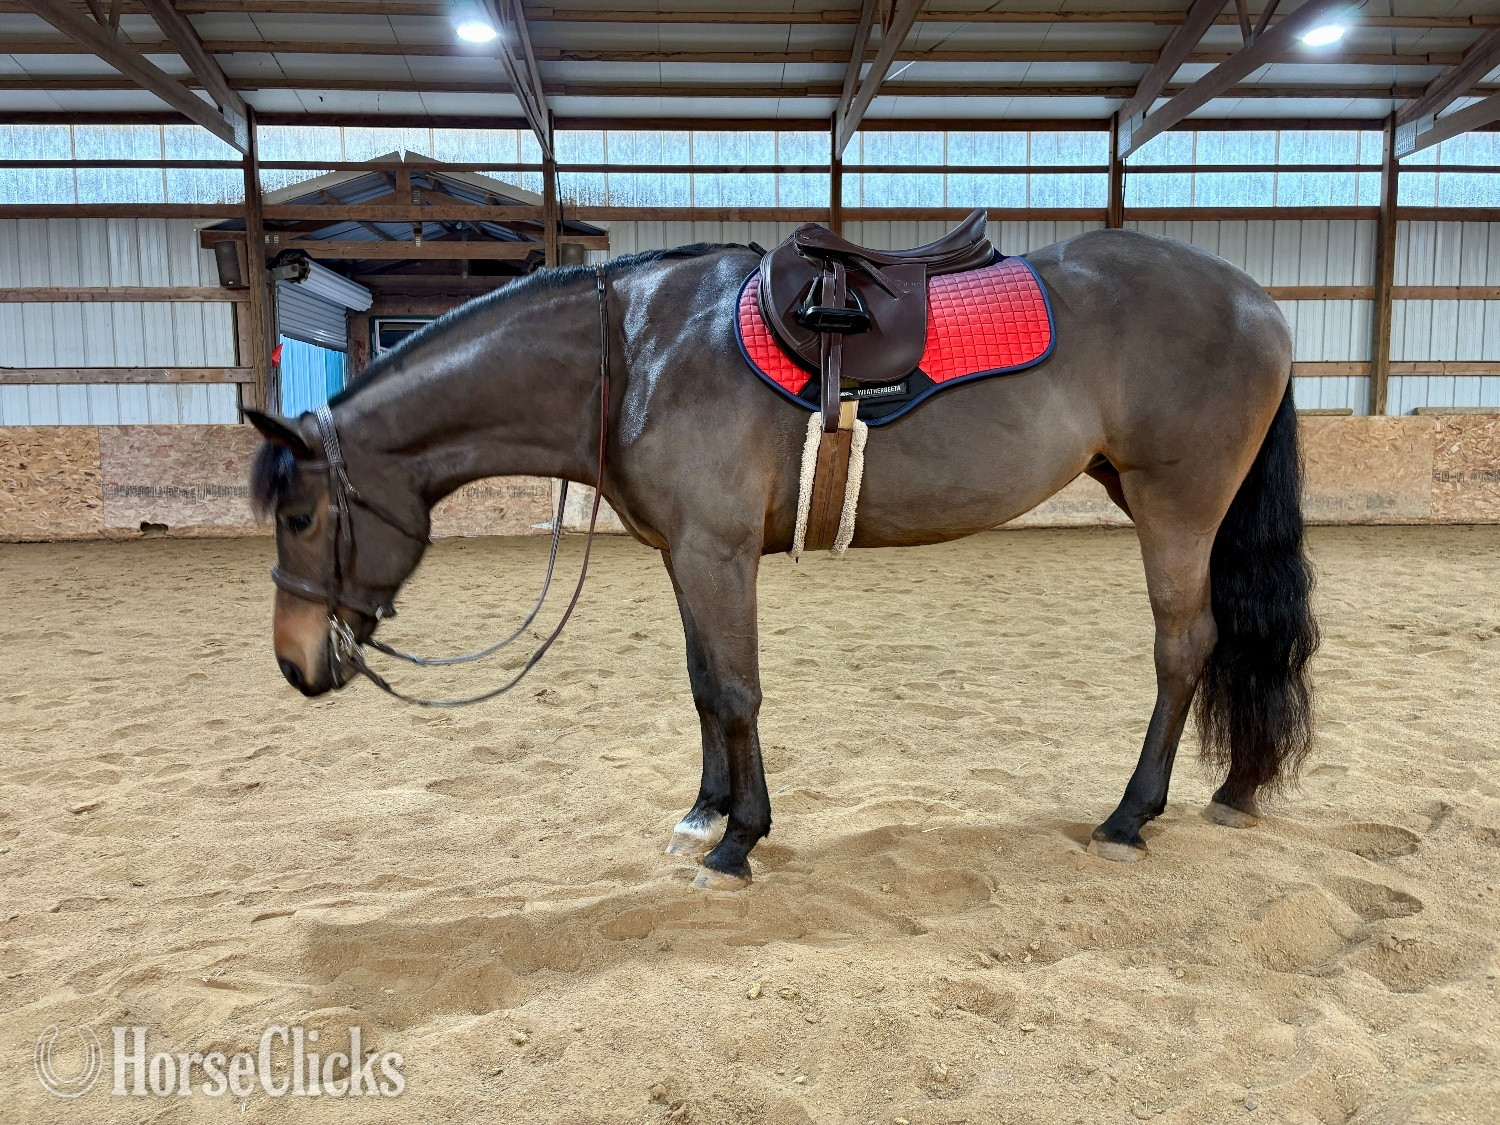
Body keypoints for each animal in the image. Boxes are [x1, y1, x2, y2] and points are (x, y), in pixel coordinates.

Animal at [246, 227, 1318, 890]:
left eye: (298, 515)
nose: (294, 663)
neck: (631, 354)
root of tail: (1257, 302)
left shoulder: (719, 556)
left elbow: (738, 691)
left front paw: (740, 838)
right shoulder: (685, 556)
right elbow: (703, 685)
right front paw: (705, 809)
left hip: (1177, 509)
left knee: (1185, 648)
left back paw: (1132, 815)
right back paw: (1233, 788)